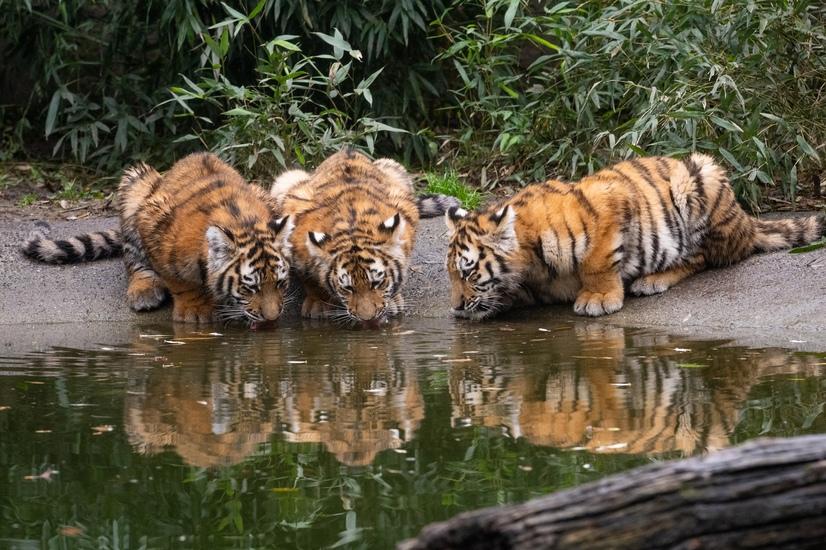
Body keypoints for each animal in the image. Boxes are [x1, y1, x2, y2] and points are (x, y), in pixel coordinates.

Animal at [22, 152, 294, 325]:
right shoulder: (152, 220)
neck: (240, 222)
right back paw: (144, 291)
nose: (272, 318)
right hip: (136, 181)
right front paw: (195, 311)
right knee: (133, 259)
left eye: (281, 284)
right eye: (250, 288)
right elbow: (179, 280)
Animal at [270, 148, 459, 324]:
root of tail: (346, 149)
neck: (352, 227)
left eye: (377, 283)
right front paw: (318, 304)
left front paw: (393, 301)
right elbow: (309, 278)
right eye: (348, 288)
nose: (368, 319)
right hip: (288, 178)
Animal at [446, 153, 826, 320]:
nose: (456, 307)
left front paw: (598, 298)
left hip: (700, 179)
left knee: (703, 257)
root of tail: (746, 219)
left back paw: (652, 280)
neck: (531, 265)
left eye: (469, 271)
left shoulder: (611, 201)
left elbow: (597, 261)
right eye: (452, 275)